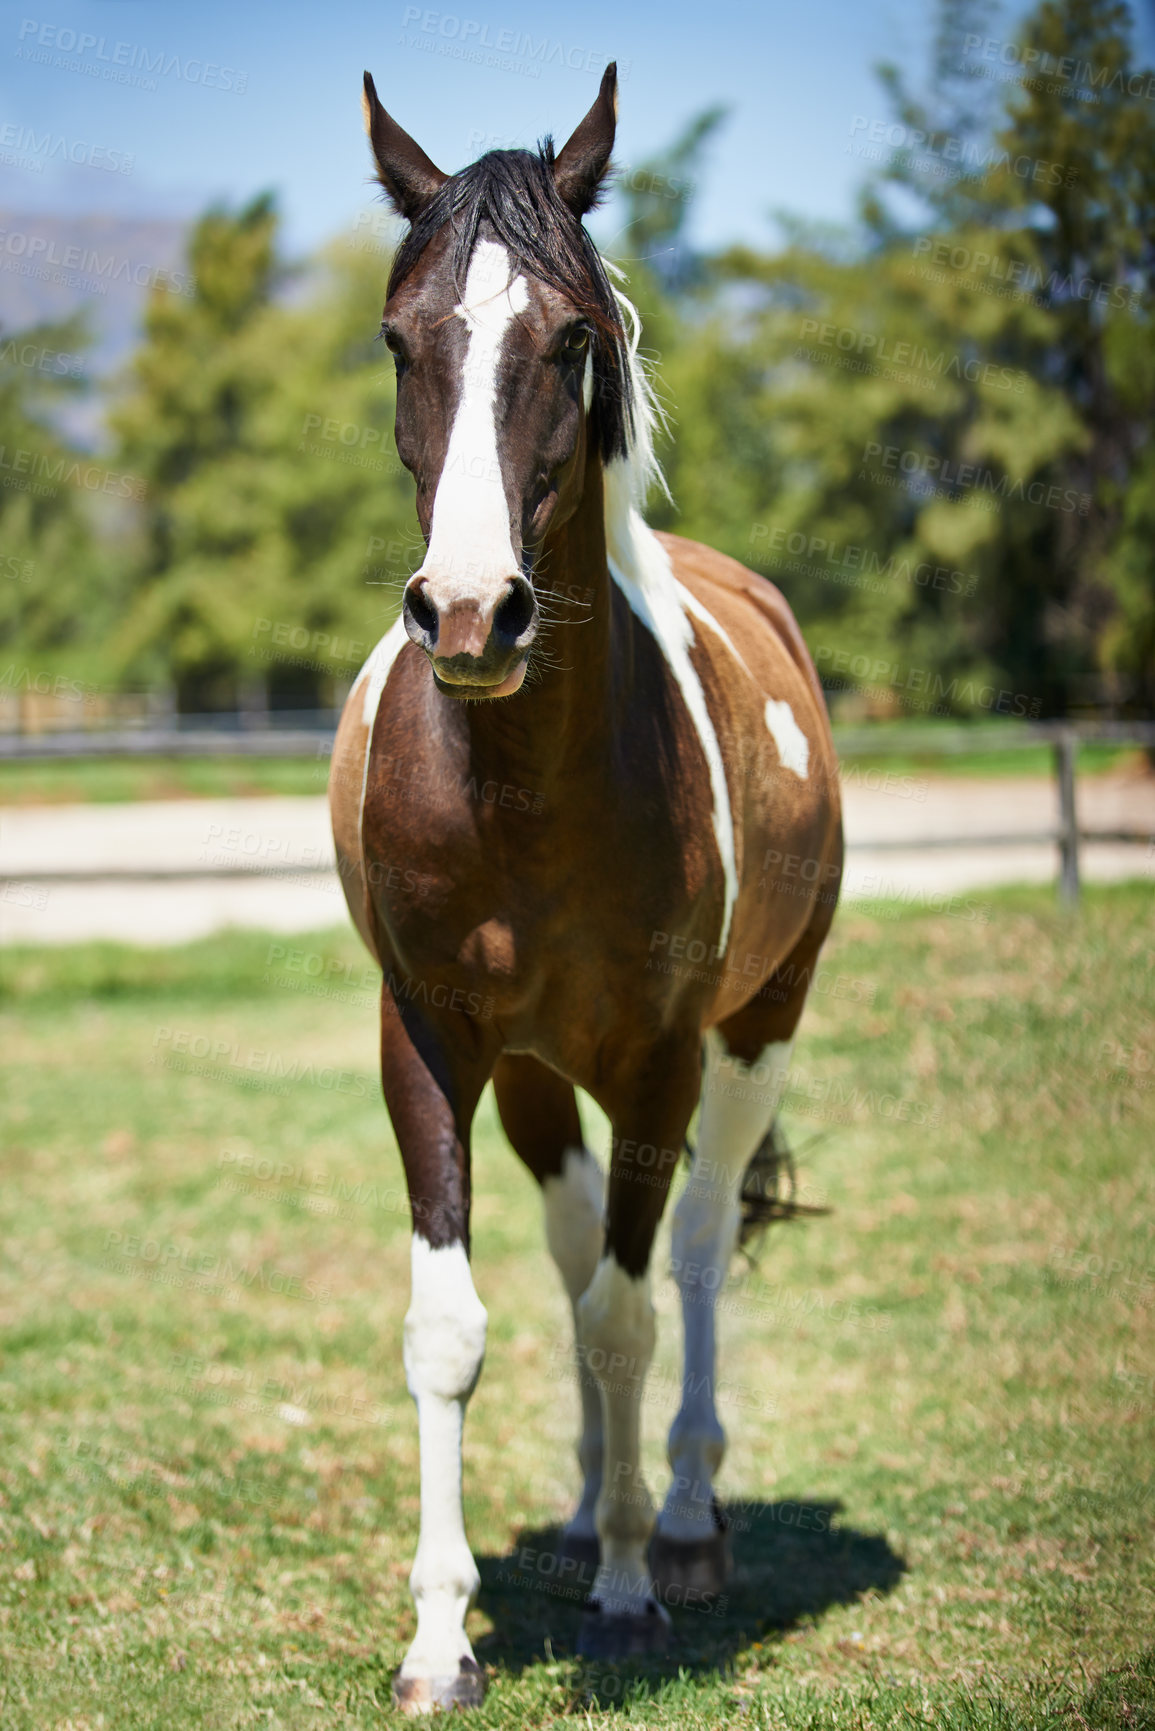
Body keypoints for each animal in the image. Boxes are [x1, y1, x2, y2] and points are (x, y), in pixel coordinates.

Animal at [329, 64, 845, 1717]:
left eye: (571, 338)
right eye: (399, 337)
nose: (467, 611)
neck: (528, 787)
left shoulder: (663, 1055)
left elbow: (629, 1311)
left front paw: (625, 1592)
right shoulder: (429, 1040)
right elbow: (452, 1324)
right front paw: (441, 1634)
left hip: (753, 1034)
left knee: (684, 1257)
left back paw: (672, 1515)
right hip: (538, 1072)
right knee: (566, 1262)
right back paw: (578, 1502)